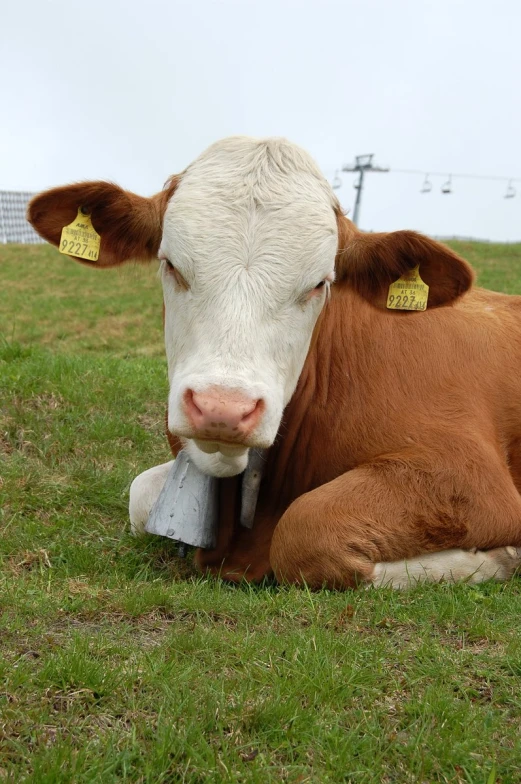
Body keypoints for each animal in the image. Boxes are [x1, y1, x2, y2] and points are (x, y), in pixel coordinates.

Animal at [27, 136, 520, 588]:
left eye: (319, 284)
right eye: (171, 265)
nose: (222, 408)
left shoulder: (467, 477)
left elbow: (306, 530)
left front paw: (497, 558)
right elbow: (141, 496)